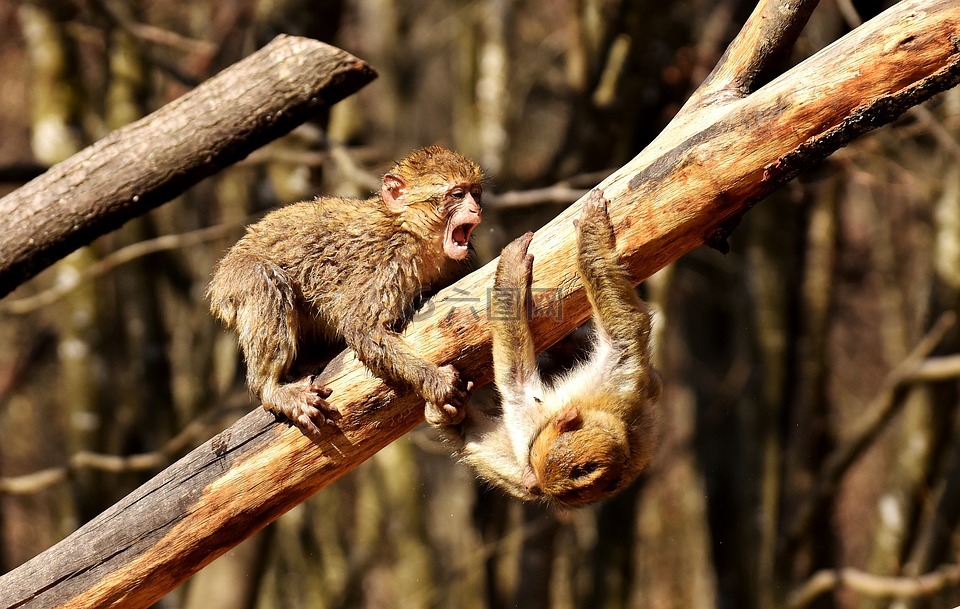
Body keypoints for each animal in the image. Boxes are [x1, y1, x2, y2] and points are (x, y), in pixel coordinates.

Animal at [207, 145, 484, 440]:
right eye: (457, 195)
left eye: (475, 193)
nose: (476, 209)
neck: (411, 233)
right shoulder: (386, 262)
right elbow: (361, 329)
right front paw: (436, 381)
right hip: (235, 279)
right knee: (263, 280)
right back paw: (270, 387)